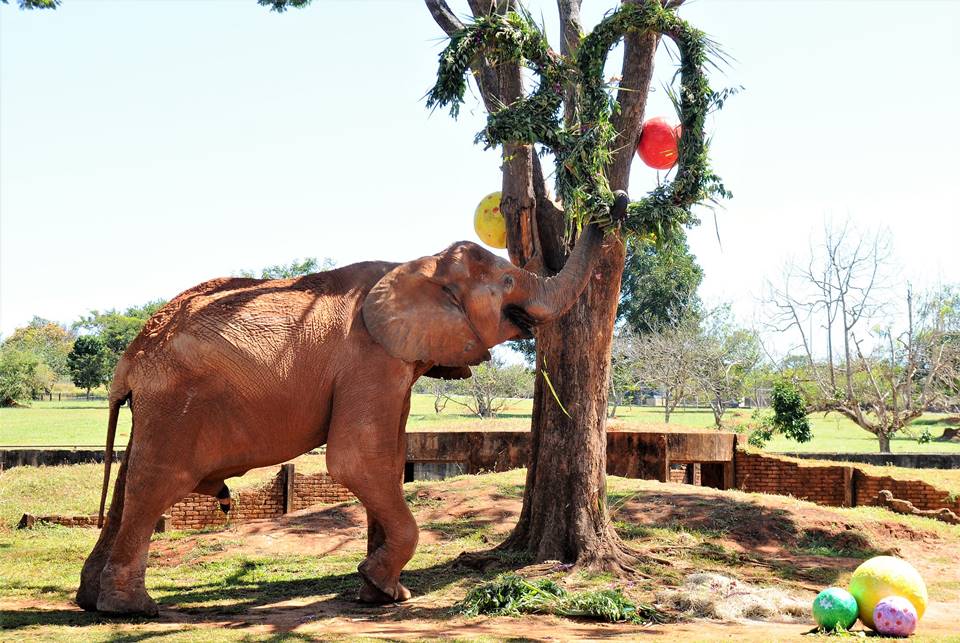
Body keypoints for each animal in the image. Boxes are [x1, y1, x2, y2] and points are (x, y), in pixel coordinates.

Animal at [79, 197, 628, 620]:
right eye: (510, 281)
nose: (614, 200)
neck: (416, 263)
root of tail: (131, 358)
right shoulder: (370, 359)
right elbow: (358, 460)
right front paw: (379, 585)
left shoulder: (392, 362)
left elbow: (388, 459)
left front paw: (380, 594)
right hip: (176, 403)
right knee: (155, 484)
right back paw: (132, 610)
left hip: (158, 408)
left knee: (128, 482)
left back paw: (91, 601)